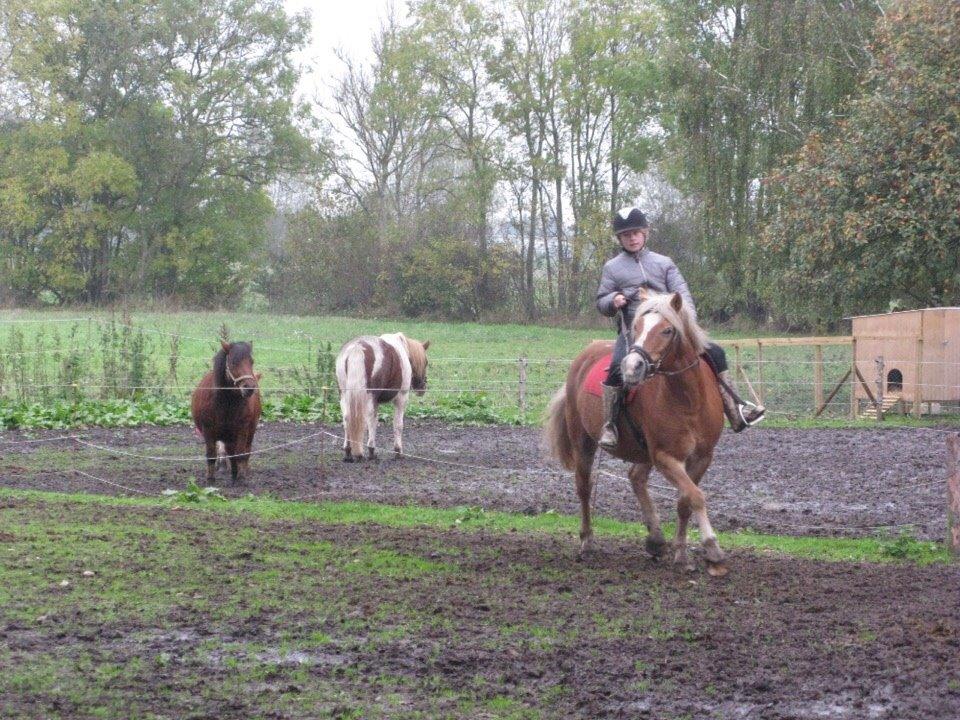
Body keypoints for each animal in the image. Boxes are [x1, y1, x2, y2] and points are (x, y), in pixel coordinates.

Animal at [190, 342, 260, 484]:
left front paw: (241, 478)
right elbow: (212, 455)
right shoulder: (208, 430)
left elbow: (240, 453)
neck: (226, 402)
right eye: (233, 362)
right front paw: (210, 478)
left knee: (245, 451)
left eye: (251, 361)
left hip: (248, 431)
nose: (250, 387)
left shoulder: (242, 428)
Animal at [548, 290, 728, 576]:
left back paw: (655, 539)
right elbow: (696, 497)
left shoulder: (702, 457)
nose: (633, 366)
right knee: (584, 487)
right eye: (637, 327)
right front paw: (713, 550)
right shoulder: (665, 457)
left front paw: (682, 554)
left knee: (635, 478)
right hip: (583, 443)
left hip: (643, 453)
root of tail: (585, 355)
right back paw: (587, 541)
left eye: (667, 330)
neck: (688, 399)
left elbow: (685, 502)